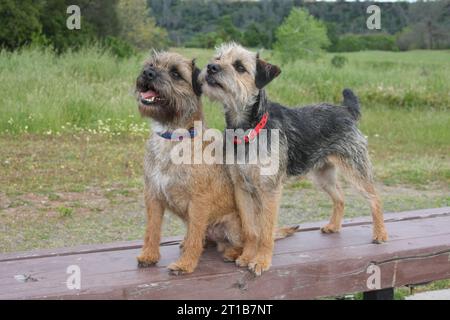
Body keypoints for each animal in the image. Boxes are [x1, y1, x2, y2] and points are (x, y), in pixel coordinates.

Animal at [134, 51, 298, 274]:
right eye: (151, 65)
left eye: (176, 73)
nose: (147, 73)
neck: (172, 136)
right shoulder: (153, 196)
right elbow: (152, 230)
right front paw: (149, 256)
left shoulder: (198, 201)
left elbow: (195, 237)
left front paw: (185, 264)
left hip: (234, 223)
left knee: (247, 239)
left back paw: (232, 253)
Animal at [200, 43, 386, 276]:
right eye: (218, 57)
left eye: (239, 66)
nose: (211, 67)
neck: (248, 128)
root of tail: (345, 110)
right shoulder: (241, 188)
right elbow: (250, 229)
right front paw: (246, 256)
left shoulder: (269, 190)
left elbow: (266, 230)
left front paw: (261, 261)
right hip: (323, 175)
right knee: (340, 198)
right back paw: (334, 226)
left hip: (355, 169)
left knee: (375, 198)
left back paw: (380, 234)